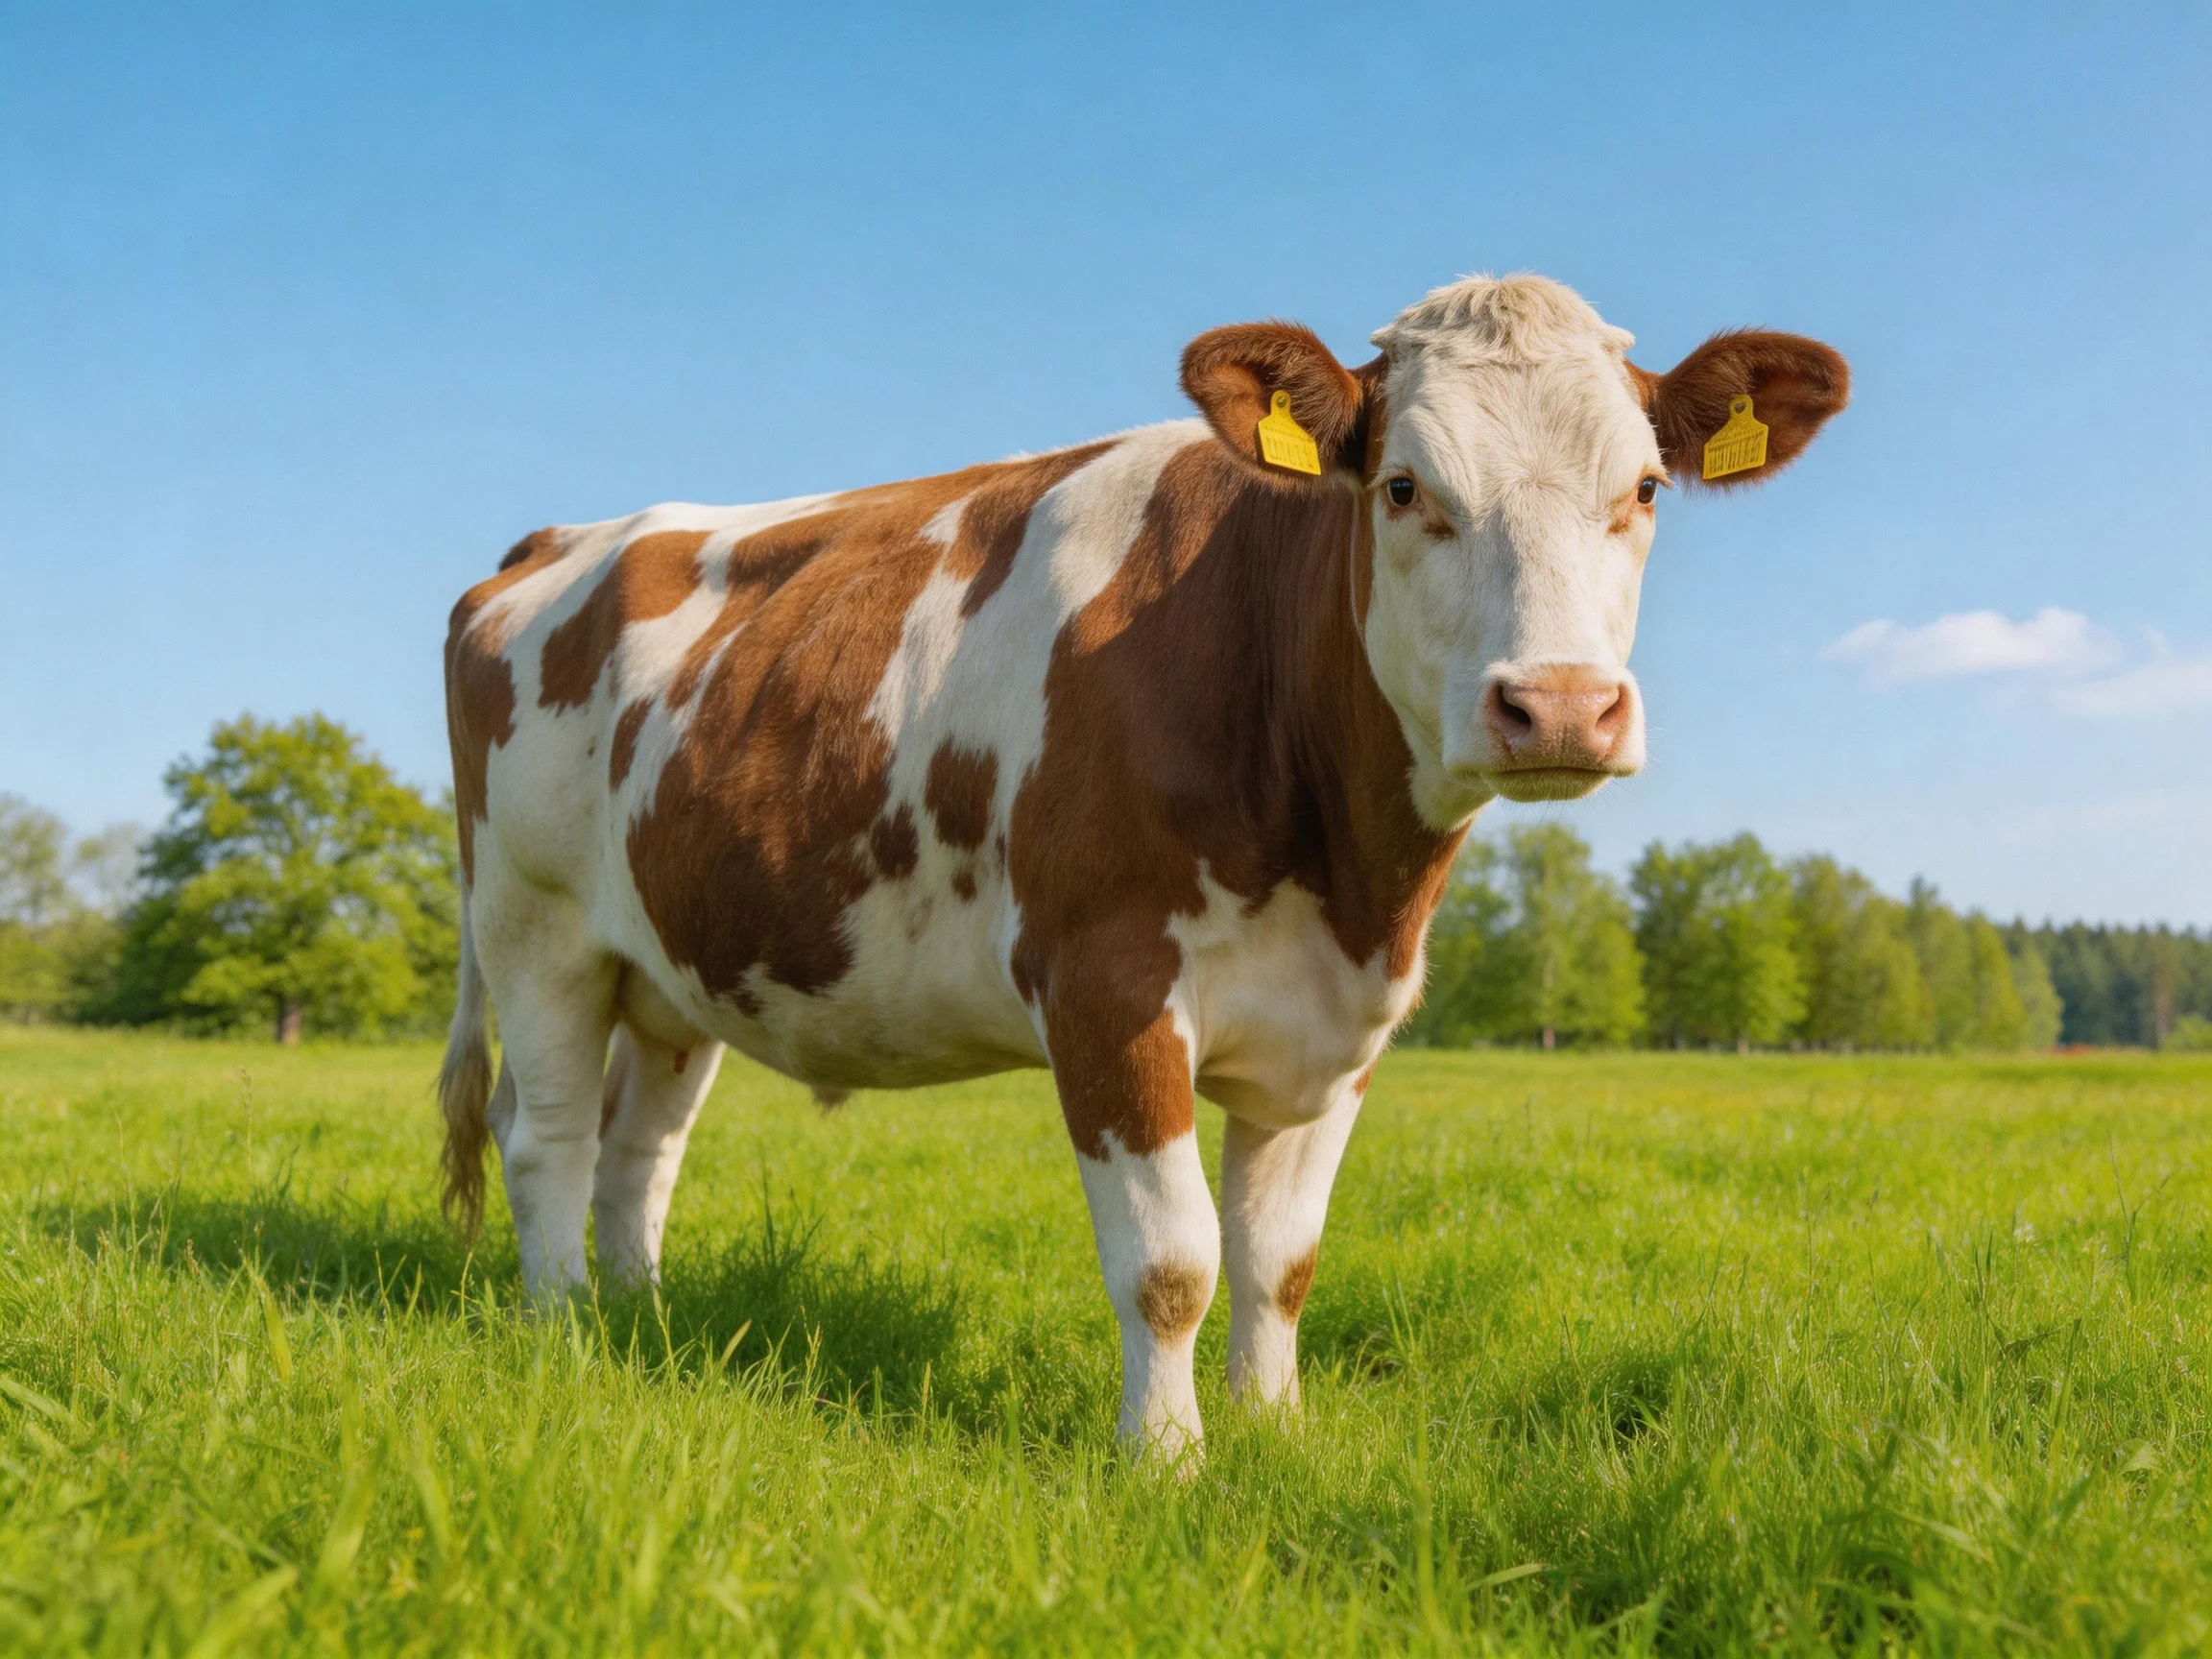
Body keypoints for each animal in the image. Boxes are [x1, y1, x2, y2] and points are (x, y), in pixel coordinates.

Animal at [438, 274, 1847, 1455]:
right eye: (1402, 487)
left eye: (1647, 491)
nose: (1558, 706)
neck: (1349, 876)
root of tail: (561, 540)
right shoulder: (1107, 983)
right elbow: (1172, 1262)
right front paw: (1166, 1462)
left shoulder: (1340, 1026)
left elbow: (1280, 1257)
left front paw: (1275, 1436)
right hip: (534, 929)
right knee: (547, 1137)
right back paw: (566, 1332)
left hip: (673, 967)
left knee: (637, 1150)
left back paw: (641, 1323)